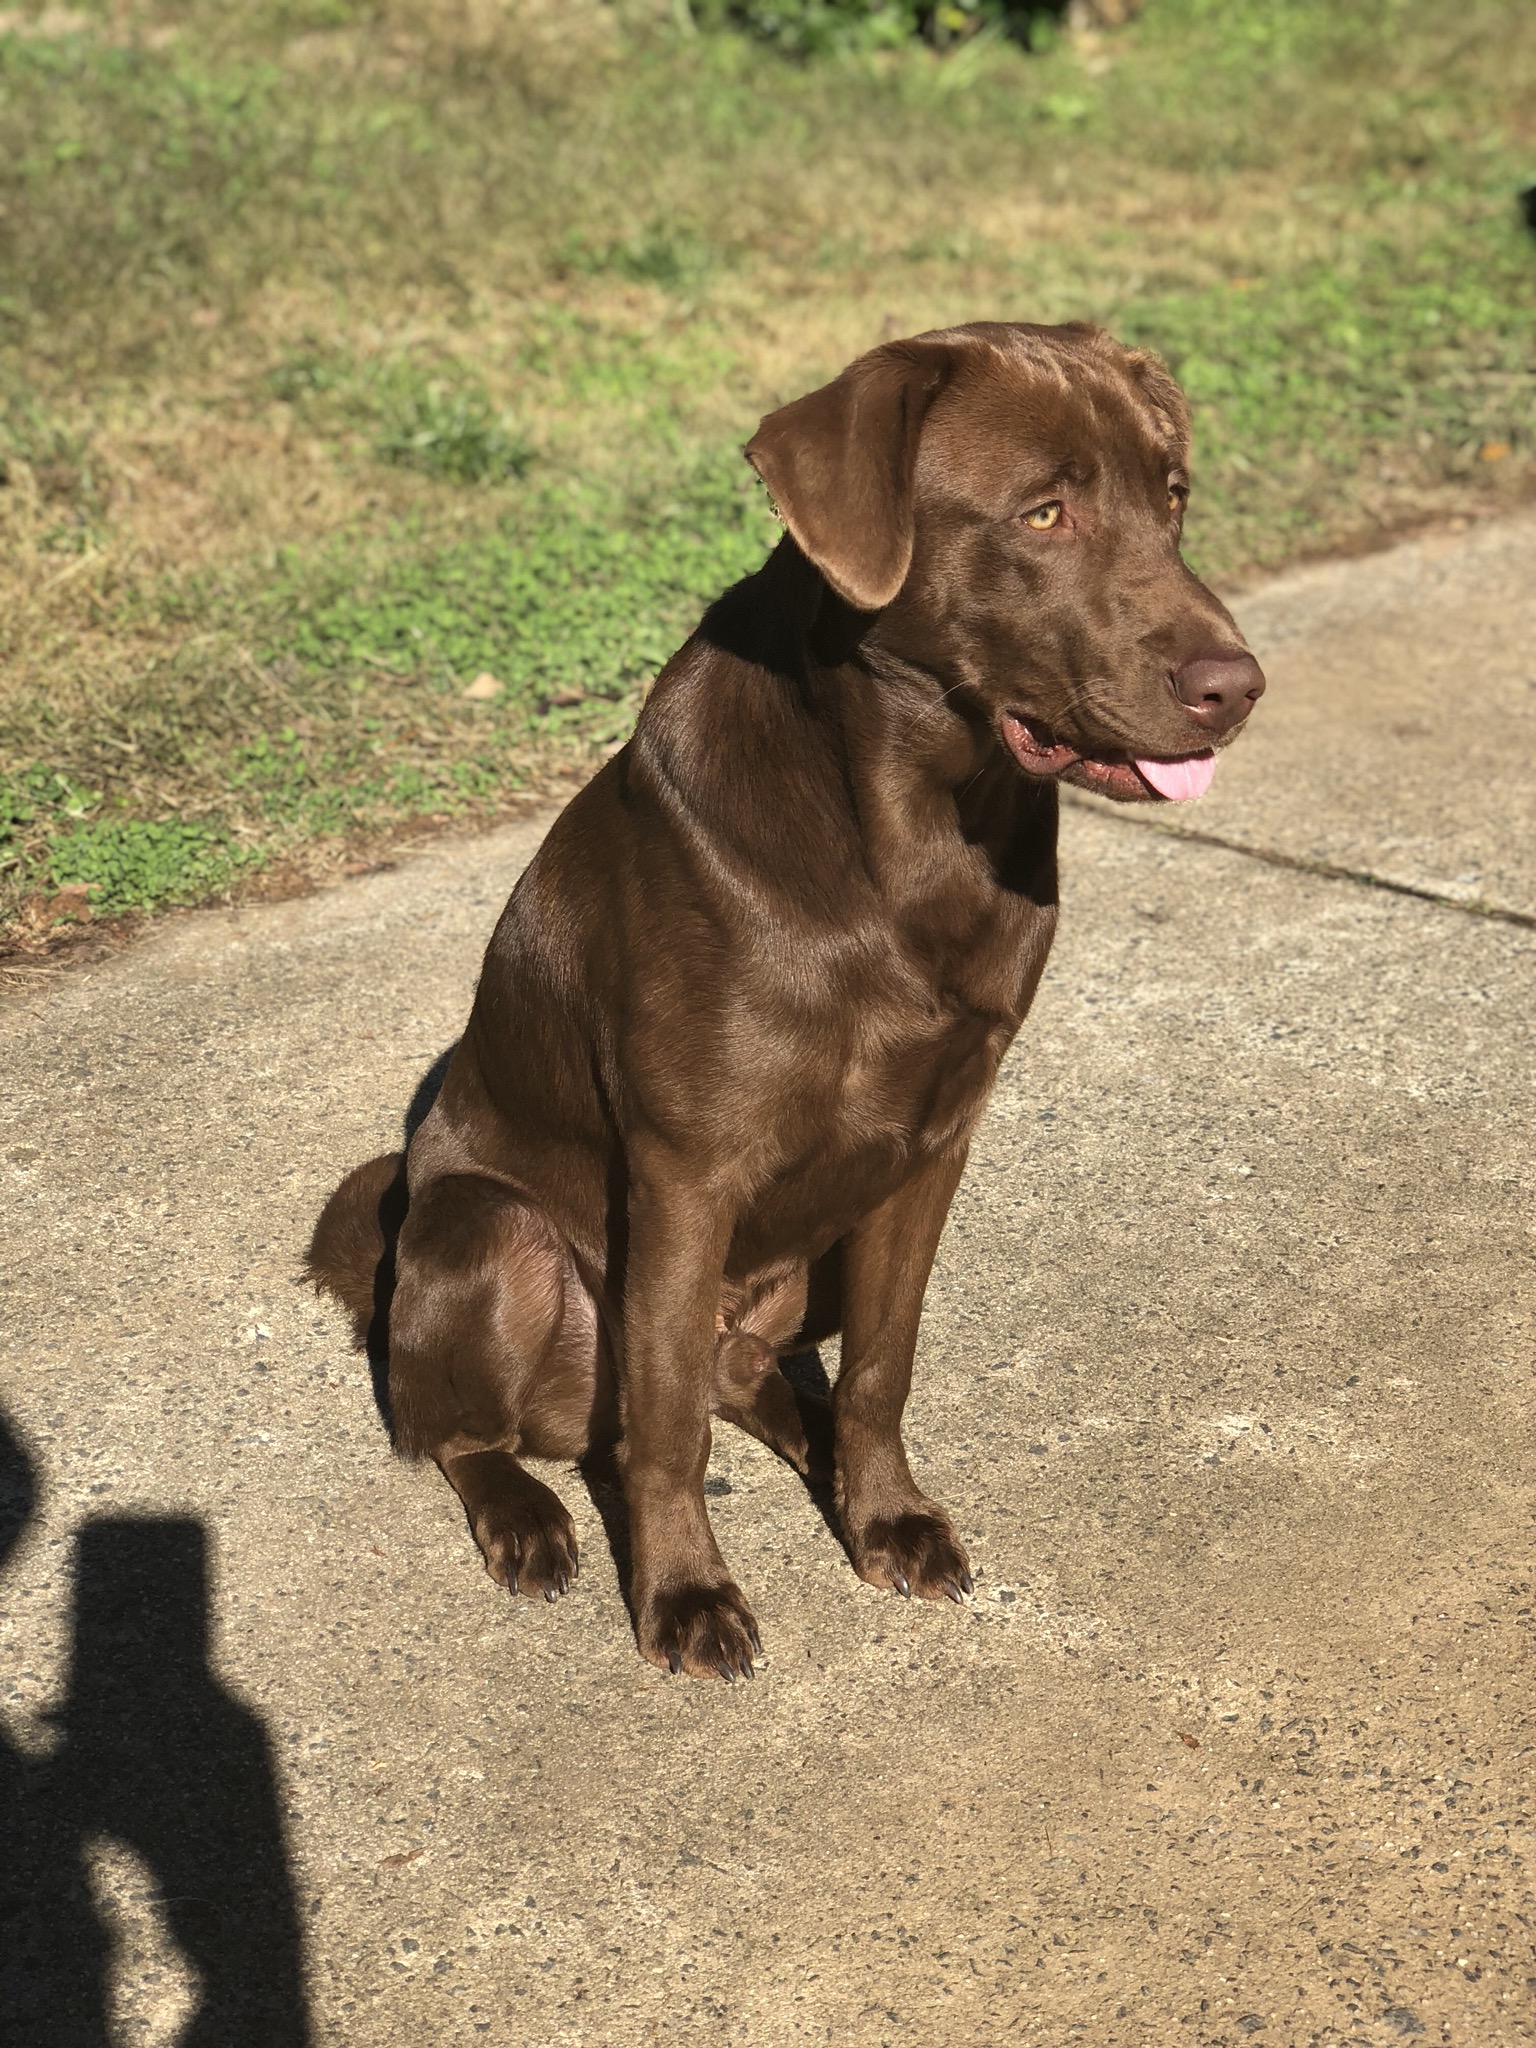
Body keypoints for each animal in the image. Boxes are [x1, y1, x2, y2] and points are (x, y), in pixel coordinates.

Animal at [309, 323, 1261, 1679]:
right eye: (1045, 510)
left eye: (1172, 496)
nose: (1239, 684)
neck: (918, 828)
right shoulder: (685, 1170)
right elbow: (663, 1429)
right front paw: (686, 1596)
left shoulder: (934, 1143)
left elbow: (880, 1367)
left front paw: (882, 1513)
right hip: (492, 1236)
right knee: (467, 1426)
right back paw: (528, 1515)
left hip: (810, 1246)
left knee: (743, 1365)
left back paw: (811, 1450)